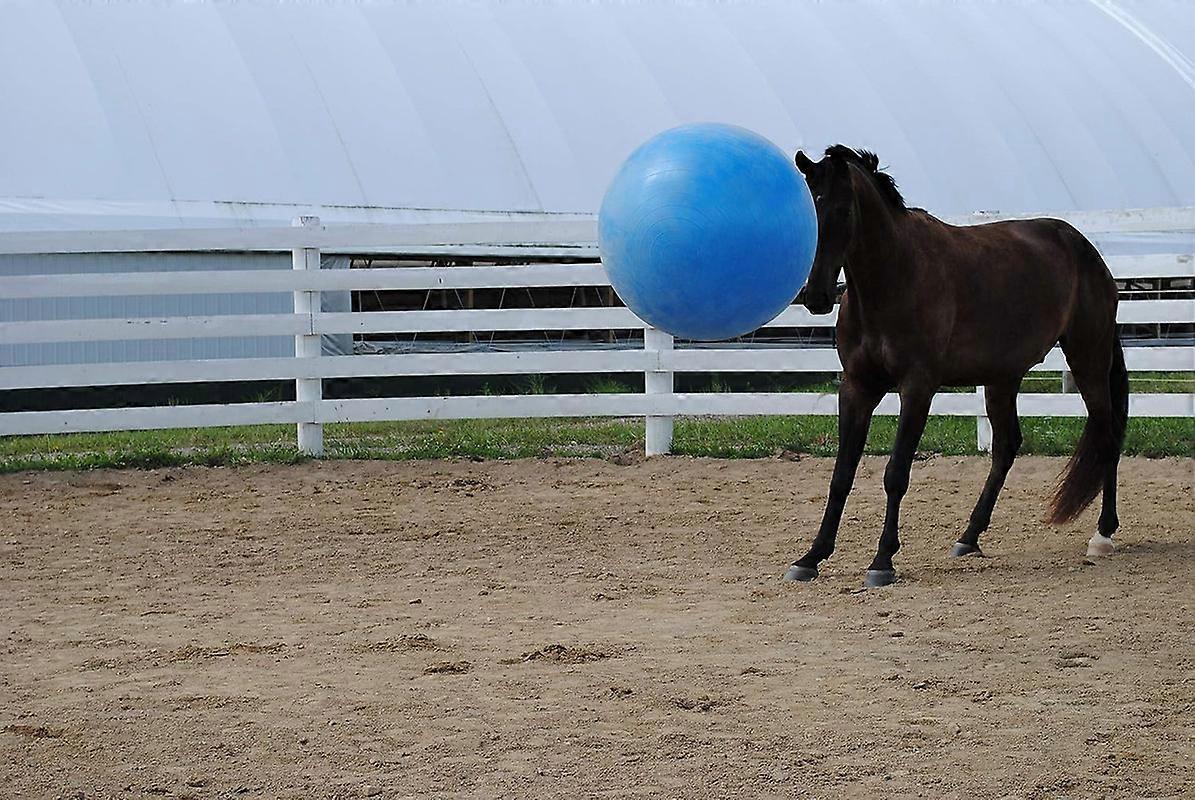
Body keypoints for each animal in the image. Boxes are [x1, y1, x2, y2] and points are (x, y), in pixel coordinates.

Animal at [784, 146, 1127, 588]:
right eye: (810, 208)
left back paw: (1103, 534)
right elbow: (841, 475)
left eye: (844, 210)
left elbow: (896, 473)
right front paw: (812, 556)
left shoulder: (917, 389)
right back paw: (969, 537)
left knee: (1108, 434)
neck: (893, 279)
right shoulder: (857, 388)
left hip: (1088, 358)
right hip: (1003, 380)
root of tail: (1086, 251)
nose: (816, 296)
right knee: (1007, 447)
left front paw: (882, 561)